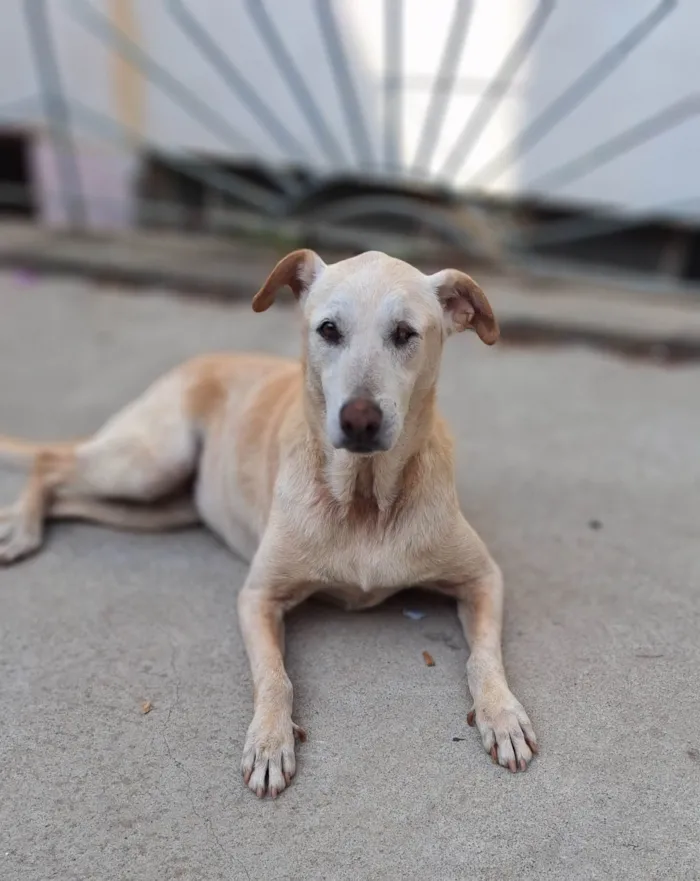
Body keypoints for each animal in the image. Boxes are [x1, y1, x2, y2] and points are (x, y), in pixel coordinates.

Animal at [0, 249, 536, 796]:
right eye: (328, 329)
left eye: (405, 333)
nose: (359, 419)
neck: (363, 498)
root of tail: (203, 359)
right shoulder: (258, 597)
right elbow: (275, 677)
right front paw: (270, 740)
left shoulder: (483, 579)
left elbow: (482, 657)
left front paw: (502, 714)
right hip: (149, 463)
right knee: (50, 462)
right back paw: (20, 526)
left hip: (155, 506)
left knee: (66, 493)